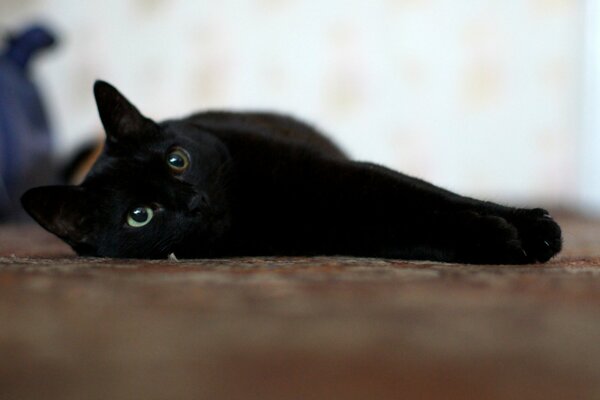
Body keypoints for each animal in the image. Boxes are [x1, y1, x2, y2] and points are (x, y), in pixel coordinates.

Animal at [19, 81, 564, 262]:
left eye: (178, 160)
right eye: (140, 215)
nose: (194, 202)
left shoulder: (348, 175)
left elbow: (437, 197)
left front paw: (535, 228)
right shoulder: (346, 224)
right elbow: (421, 221)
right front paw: (496, 240)